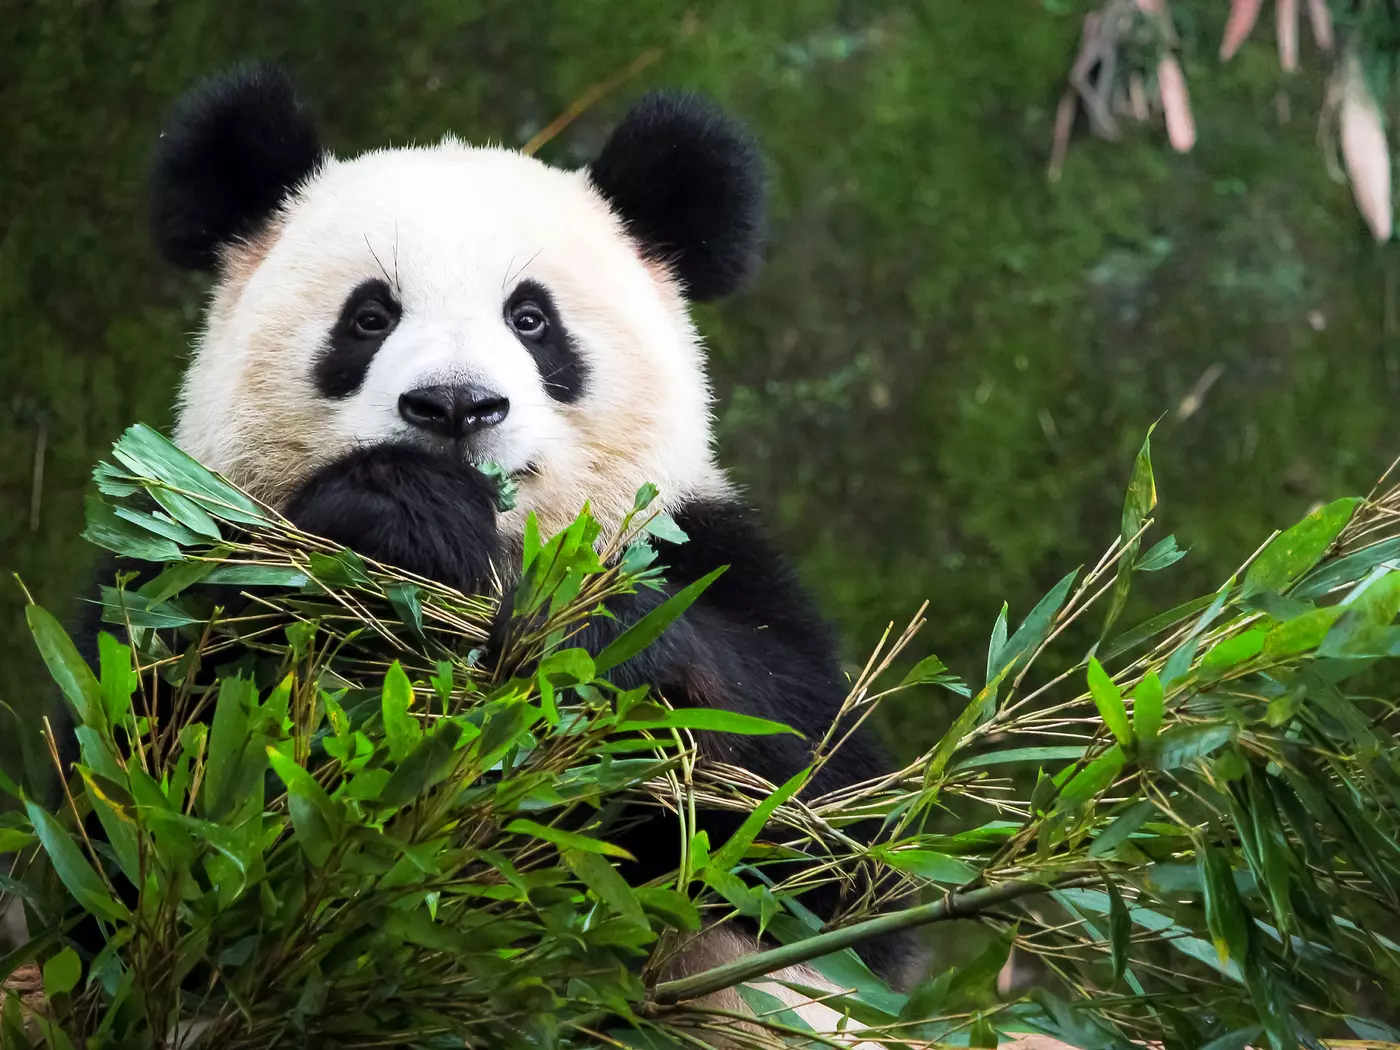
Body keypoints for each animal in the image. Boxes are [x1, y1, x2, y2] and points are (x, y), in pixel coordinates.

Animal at [64, 64, 923, 1030]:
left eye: (532, 320)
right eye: (369, 316)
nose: (455, 405)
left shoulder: (707, 553)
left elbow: (828, 840)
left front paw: (573, 637)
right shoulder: (178, 555)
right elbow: (152, 806)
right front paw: (401, 512)